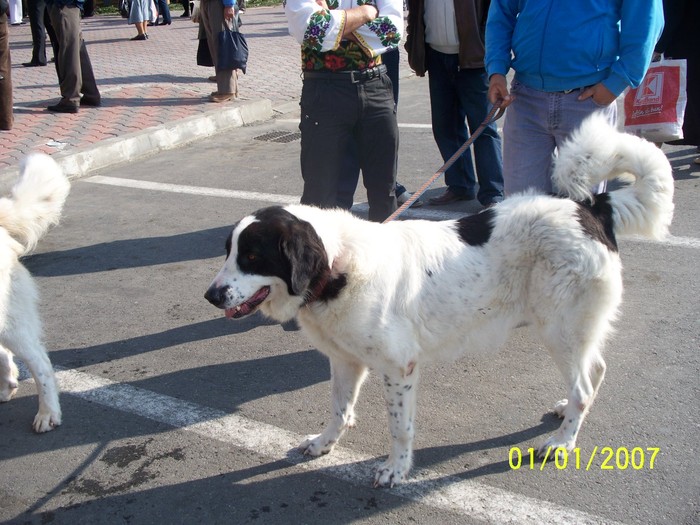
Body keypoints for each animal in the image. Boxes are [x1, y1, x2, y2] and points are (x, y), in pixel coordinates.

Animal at [205, 115, 676, 488]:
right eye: (228, 251)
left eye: (252, 257)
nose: (210, 296)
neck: (338, 265)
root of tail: (590, 208)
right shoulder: (345, 360)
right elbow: (338, 408)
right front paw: (325, 443)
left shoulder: (399, 368)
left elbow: (399, 428)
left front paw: (396, 470)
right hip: (571, 331)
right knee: (595, 370)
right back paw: (566, 417)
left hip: (559, 330)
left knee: (583, 386)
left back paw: (562, 442)